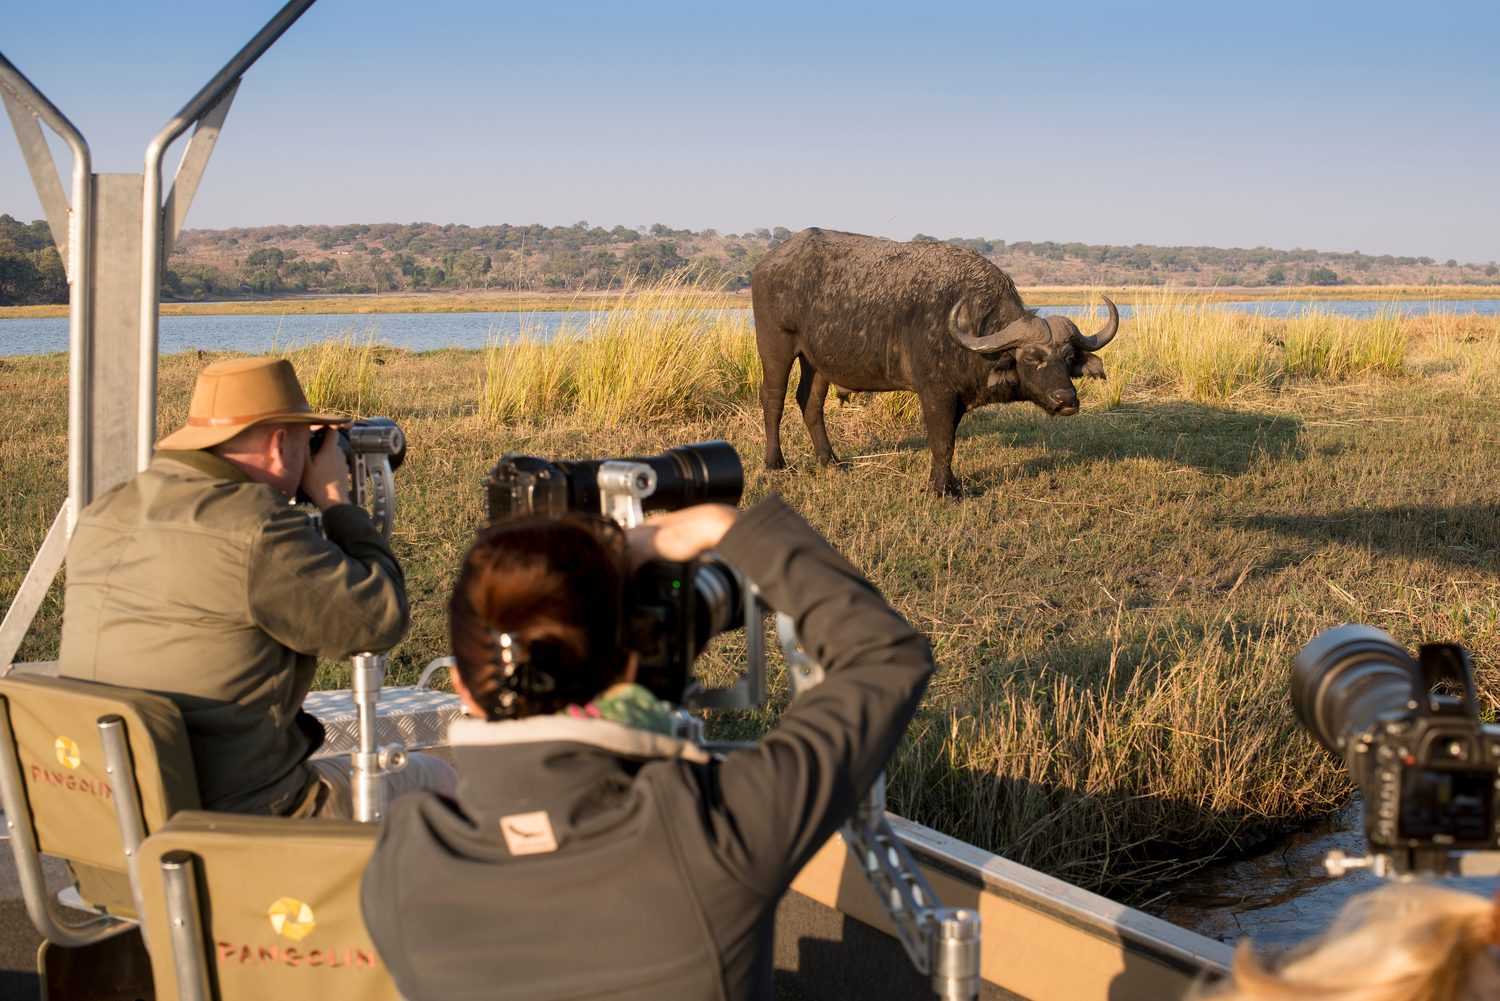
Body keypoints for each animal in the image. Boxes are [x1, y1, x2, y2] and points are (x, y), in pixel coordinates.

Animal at [752, 228, 1120, 495]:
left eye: (1068, 357)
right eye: (1032, 356)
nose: (1066, 399)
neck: (970, 326)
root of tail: (766, 262)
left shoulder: (956, 398)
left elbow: (949, 442)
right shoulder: (936, 394)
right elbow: (942, 442)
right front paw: (943, 489)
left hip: (817, 362)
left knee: (809, 402)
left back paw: (830, 461)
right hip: (776, 345)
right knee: (773, 399)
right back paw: (775, 462)